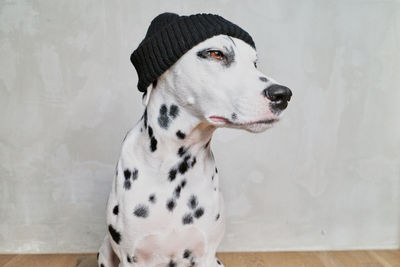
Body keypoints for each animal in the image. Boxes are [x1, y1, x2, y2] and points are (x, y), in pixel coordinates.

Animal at [97, 33, 290, 267]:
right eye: (216, 54)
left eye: (254, 63)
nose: (283, 95)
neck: (175, 167)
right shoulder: (131, 258)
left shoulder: (206, 255)